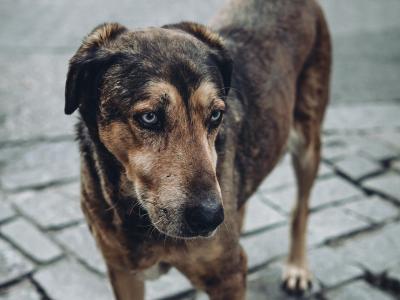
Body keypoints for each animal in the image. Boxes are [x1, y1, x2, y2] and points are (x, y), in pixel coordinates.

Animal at [64, 0, 330, 298]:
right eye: (149, 118)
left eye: (215, 115)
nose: (211, 218)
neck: (135, 213)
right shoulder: (122, 272)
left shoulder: (229, 276)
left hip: (308, 144)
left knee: (301, 208)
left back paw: (297, 267)